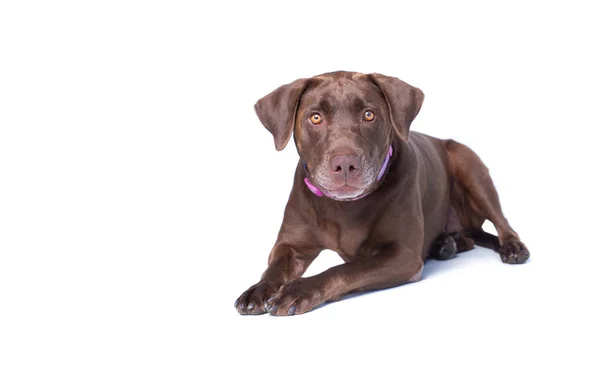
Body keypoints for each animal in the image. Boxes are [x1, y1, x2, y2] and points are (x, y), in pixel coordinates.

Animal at [234, 70, 528, 314]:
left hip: (470, 166)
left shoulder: (402, 256)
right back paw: (445, 244)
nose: (345, 164)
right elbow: (274, 268)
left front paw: (298, 290)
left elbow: (344, 269)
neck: (342, 207)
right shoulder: (290, 246)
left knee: (502, 222)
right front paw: (257, 290)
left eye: (368, 115)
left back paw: (511, 247)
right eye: (315, 117)